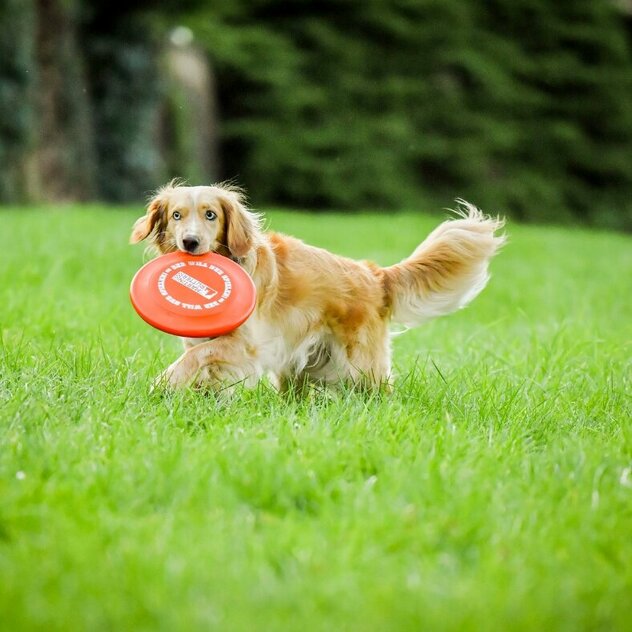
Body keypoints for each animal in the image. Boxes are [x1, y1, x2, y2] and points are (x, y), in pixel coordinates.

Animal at [131, 180, 506, 392]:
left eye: (211, 215)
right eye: (177, 215)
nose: (190, 243)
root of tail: (375, 275)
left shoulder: (244, 344)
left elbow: (194, 359)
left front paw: (162, 384)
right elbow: (200, 362)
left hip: (360, 365)